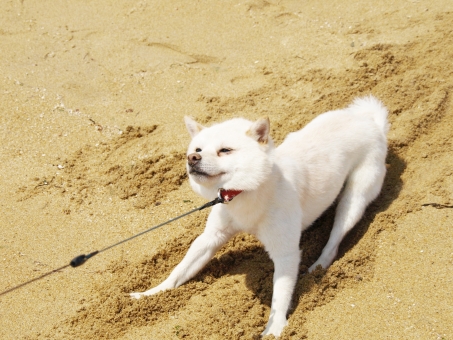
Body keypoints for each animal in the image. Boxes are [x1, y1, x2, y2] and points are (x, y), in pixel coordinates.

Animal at [131, 95, 388, 338]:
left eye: (225, 150)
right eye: (197, 150)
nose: (192, 159)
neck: (242, 193)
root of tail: (368, 121)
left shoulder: (285, 253)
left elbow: (280, 295)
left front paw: (274, 328)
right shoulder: (210, 238)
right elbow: (179, 271)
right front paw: (150, 295)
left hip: (354, 200)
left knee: (335, 239)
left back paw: (319, 266)